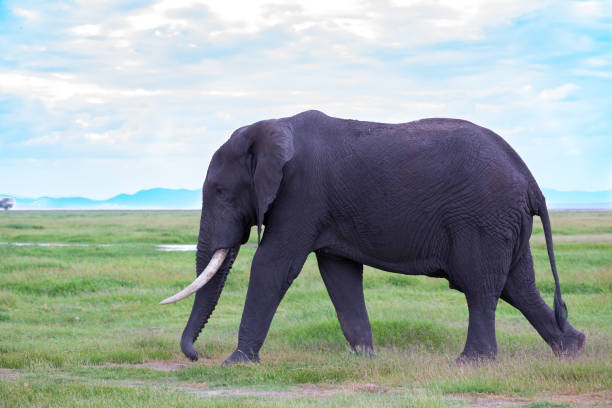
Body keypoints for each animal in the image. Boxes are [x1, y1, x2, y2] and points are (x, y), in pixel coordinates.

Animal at [160, 110, 584, 364]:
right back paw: (571, 349)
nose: (195, 355)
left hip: (483, 218)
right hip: (504, 221)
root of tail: (529, 178)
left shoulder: (300, 193)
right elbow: (340, 273)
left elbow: (273, 265)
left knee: (481, 286)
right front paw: (363, 358)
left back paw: (471, 362)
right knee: (518, 285)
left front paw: (237, 363)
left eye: (220, 193)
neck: (270, 126)